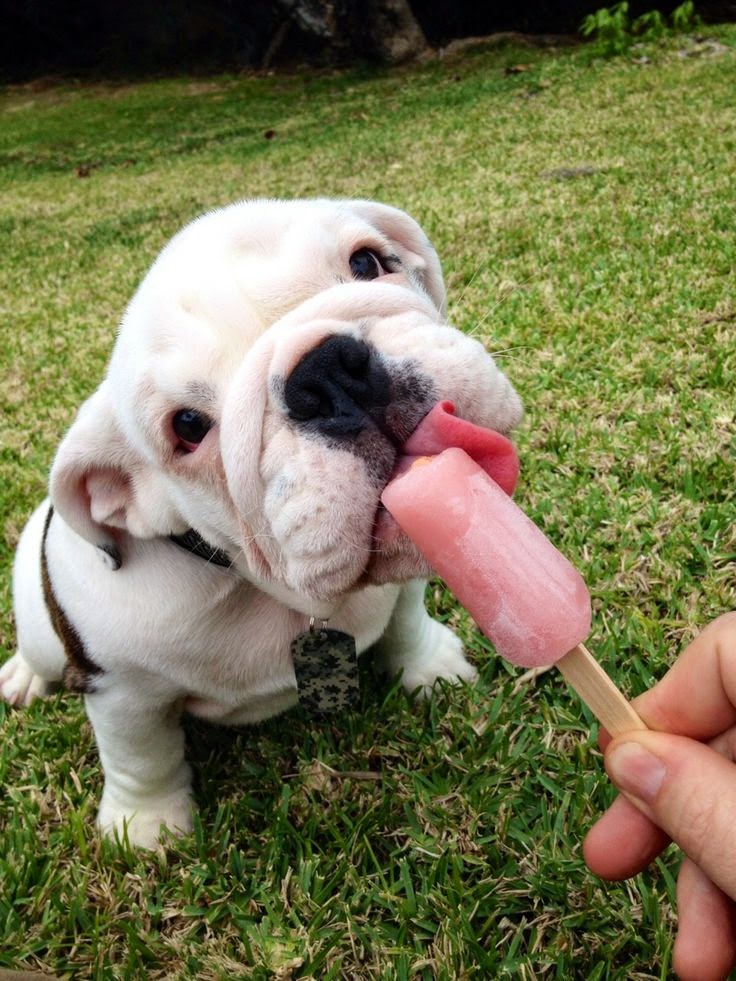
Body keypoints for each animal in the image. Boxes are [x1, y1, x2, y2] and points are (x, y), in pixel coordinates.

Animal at [5, 197, 524, 844]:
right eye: (188, 427)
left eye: (367, 261)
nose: (326, 373)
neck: (269, 593)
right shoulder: (122, 691)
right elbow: (141, 756)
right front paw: (145, 826)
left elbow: (405, 618)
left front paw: (428, 666)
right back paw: (23, 676)